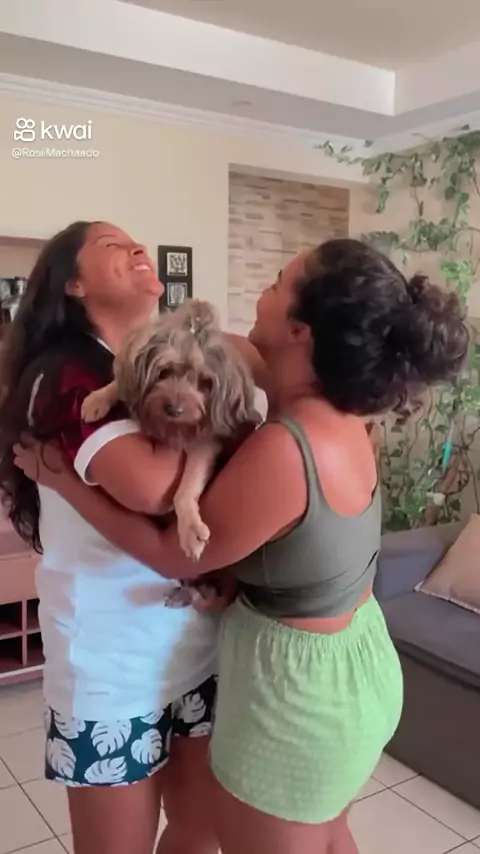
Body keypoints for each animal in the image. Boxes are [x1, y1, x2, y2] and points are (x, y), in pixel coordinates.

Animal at [81, 300, 259, 602]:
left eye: (205, 382)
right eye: (163, 371)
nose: (173, 409)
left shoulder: (204, 443)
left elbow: (185, 489)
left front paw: (189, 529)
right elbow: (122, 383)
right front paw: (99, 397)